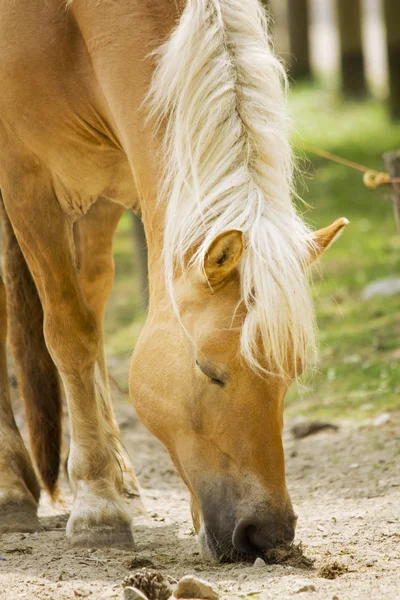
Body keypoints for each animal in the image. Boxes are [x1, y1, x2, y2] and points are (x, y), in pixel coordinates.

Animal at [0, 1, 346, 564]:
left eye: (291, 374)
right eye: (208, 370)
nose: (266, 534)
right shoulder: (28, 183)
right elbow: (68, 333)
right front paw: (97, 509)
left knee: (93, 296)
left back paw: (122, 477)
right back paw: (13, 487)